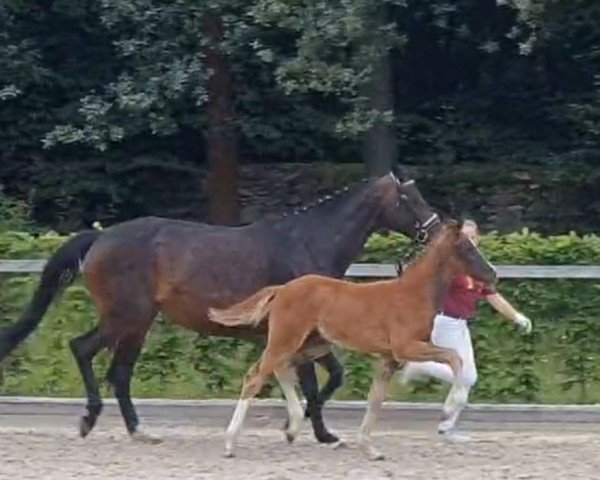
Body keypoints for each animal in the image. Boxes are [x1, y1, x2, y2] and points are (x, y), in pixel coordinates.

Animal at [1, 172, 440, 442]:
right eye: (410, 198)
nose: (436, 230)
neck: (306, 243)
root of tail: (100, 238)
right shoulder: (298, 334)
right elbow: (319, 382)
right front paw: (314, 432)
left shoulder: (308, 337)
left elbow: (330, 377)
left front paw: (301, 427)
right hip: (126, 316)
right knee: (84, 350)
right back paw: (91, 420)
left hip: (138, 323)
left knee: (119, 373)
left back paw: (140, 431)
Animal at [211, 221, 496, 462]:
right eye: (467, 248)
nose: (492, 274)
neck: (413, 294)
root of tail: (282, 289)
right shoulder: (406, 348)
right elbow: (454, 358)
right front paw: (448, 410)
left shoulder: (390, 359)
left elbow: (375, 400)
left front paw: (370, 449)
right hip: (287, 340)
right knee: (255, 377)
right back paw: (230, 444)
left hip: (311, 345)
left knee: (279, 369)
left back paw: (292, 428)